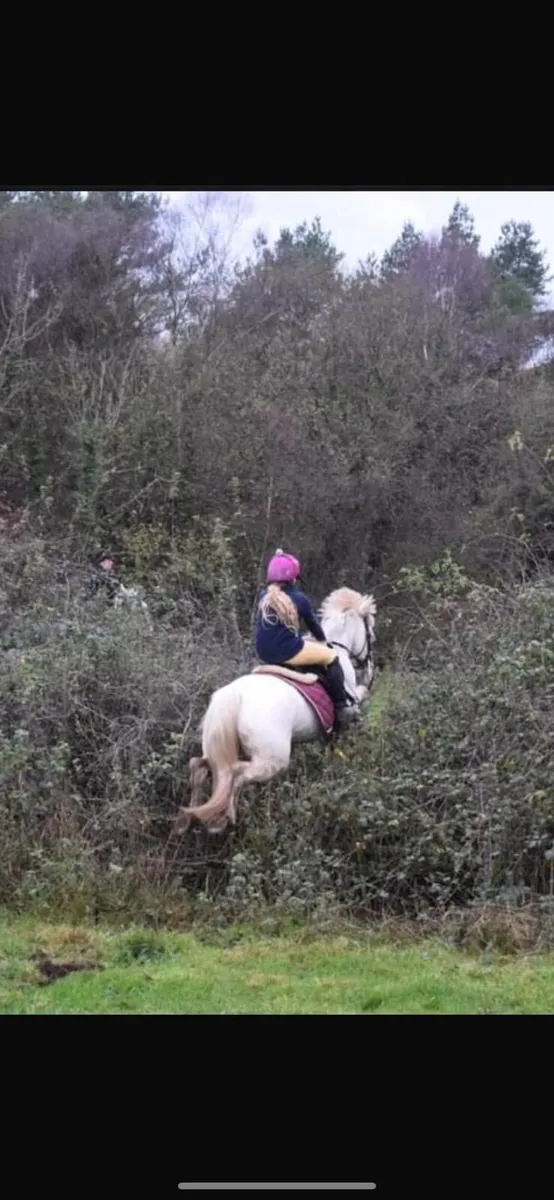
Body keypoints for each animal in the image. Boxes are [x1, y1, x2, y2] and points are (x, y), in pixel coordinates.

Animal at [173, 586, 377, 836]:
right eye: (371, 632)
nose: (370, 673)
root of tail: (234, 697)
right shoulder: (352, 702)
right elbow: (359, 699)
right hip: (272, 759)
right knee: (236, 775)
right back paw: (223, 820)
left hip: (215, 745)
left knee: (201, 766)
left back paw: (186, 820)